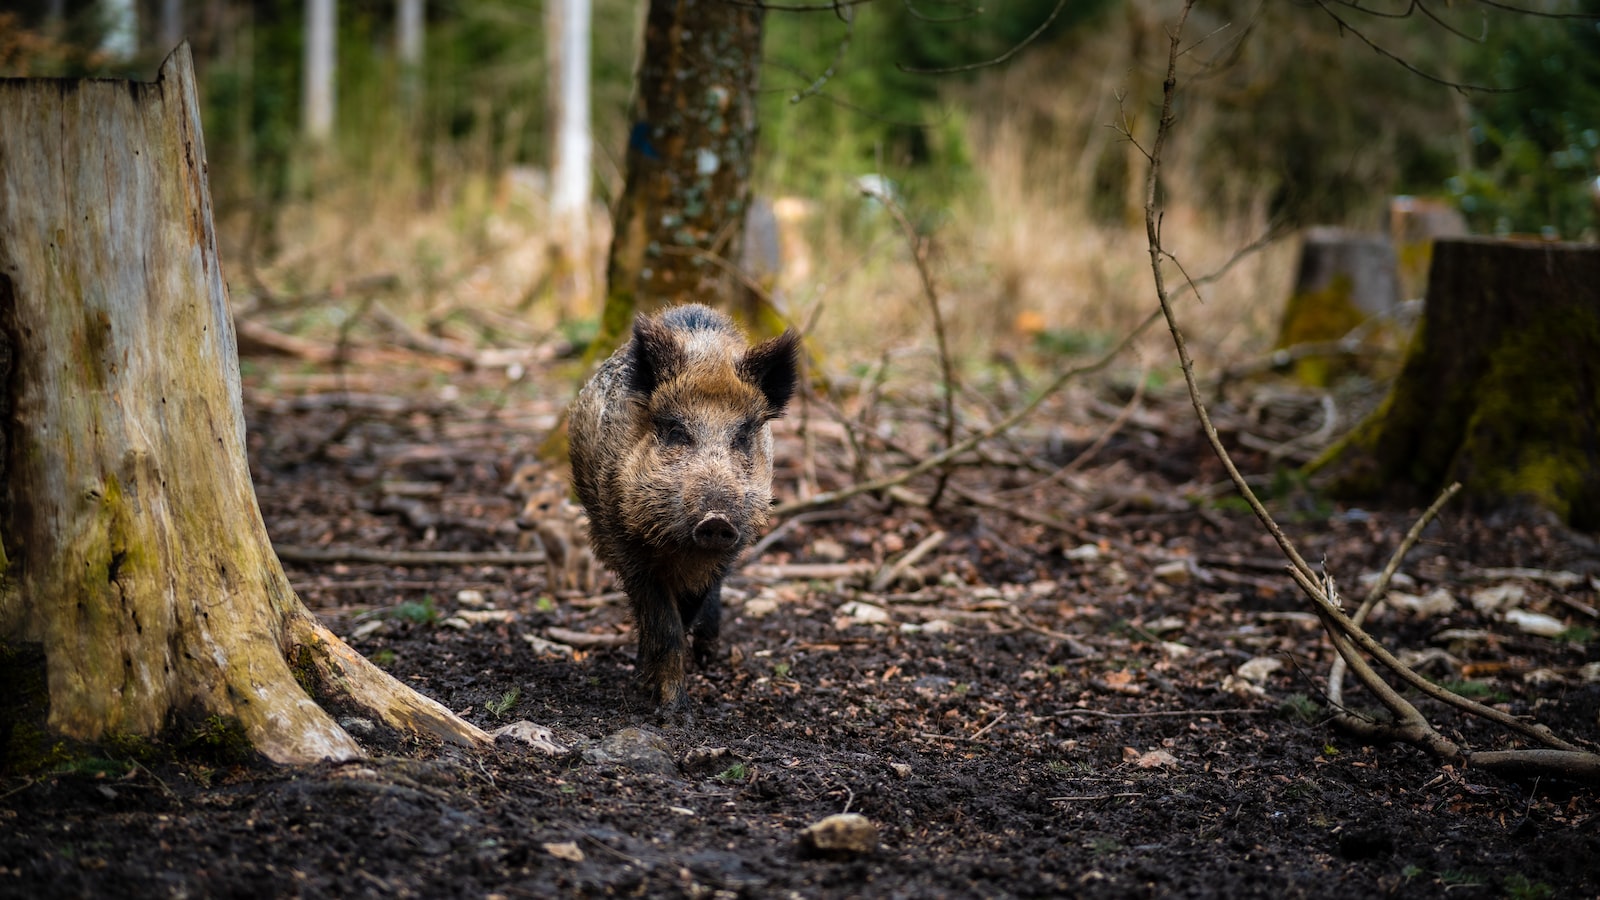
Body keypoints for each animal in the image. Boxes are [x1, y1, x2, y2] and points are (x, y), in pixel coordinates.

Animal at [568, 303, 800, 709]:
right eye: (676, 431)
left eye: (743, 435)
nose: (716, 519)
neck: (684, 549)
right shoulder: (625, 542)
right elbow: (664, 624)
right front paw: (669, 707)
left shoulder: (731, 547)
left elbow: (692, 606)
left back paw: (707, 655)